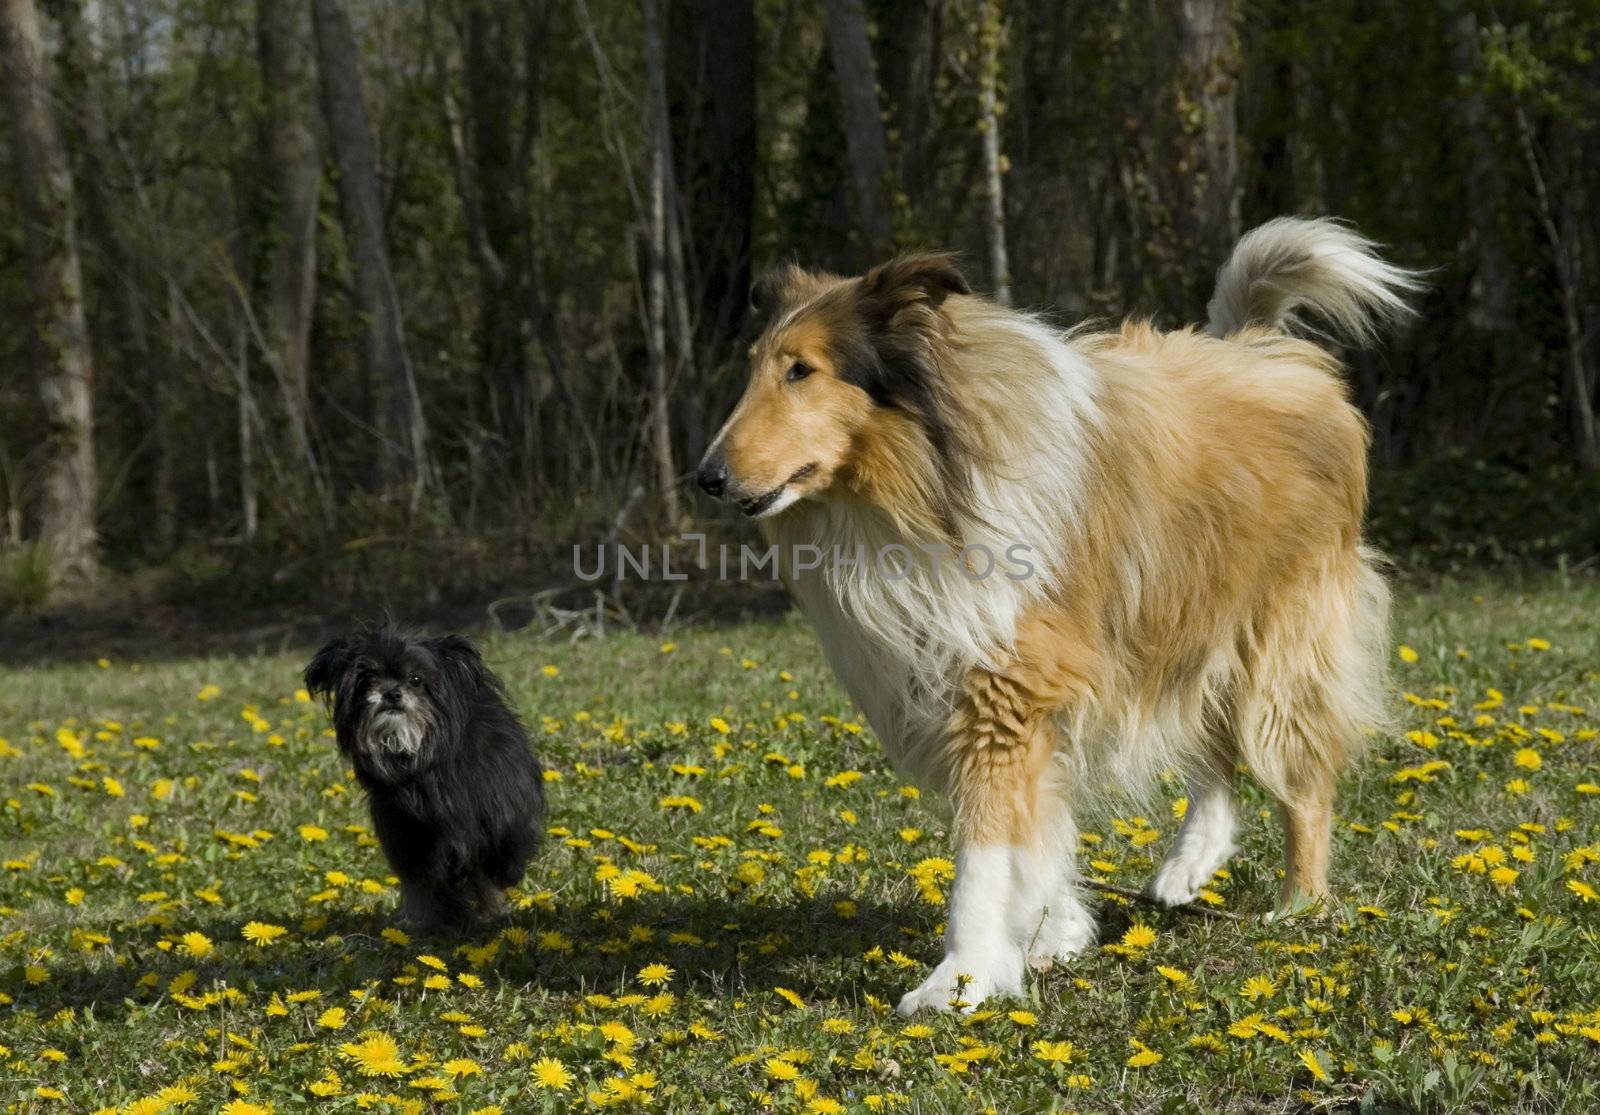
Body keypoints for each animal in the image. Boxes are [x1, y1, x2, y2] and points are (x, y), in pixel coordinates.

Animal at [302, 627, 547, 927]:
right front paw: (433, 917)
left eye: (416, 679)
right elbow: (424, 882)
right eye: (368, 679)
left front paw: (504, 875)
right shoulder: (410, 834)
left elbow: (506, 841)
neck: (422, 758)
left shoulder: (501, 803)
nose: (392, 693)